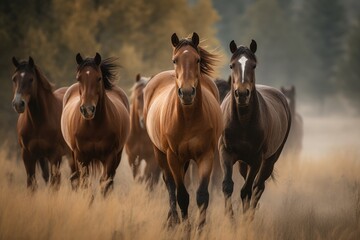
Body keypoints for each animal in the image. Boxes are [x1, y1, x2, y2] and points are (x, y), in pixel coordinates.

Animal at [11, 56, 75, 191]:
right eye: (14, 79)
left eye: (31, 79)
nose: (18, 104)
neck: (38, 122)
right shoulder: (28, 155)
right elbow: (31, 184)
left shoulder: (54, 155)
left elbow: (54, 185)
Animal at [61, 53, 130, 197]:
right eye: (78, 78)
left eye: (98, 78)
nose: (87, 109)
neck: (93, 127)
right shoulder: (81, 157)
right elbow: (85, 185)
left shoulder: (110, 156)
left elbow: (104, 184)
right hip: (72, 155)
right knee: (75, 179)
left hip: (118, 155)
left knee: (110, 181)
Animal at [143, 32, 222, 229]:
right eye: (175, 60)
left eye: (197, 59)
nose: (186, 93)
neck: (188, 119)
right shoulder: (172, 156)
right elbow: (182, 196)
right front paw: (185, 228)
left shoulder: (206, 155)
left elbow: (202, 196)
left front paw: (201, 228)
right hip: (161, 154)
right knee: (170, 184)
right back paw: (172, 220)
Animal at [218, 39, 292, 218]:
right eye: (231, 65)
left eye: (253, 65)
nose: (242, 94)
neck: (242, 122)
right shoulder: (225, 152)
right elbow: (227, 185)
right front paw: (230, 218)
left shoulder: (257, 159)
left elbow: (247, 190)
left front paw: (244, 220)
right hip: (243, 162)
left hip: (270, 159)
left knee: (258, 187)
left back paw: (251, 215)